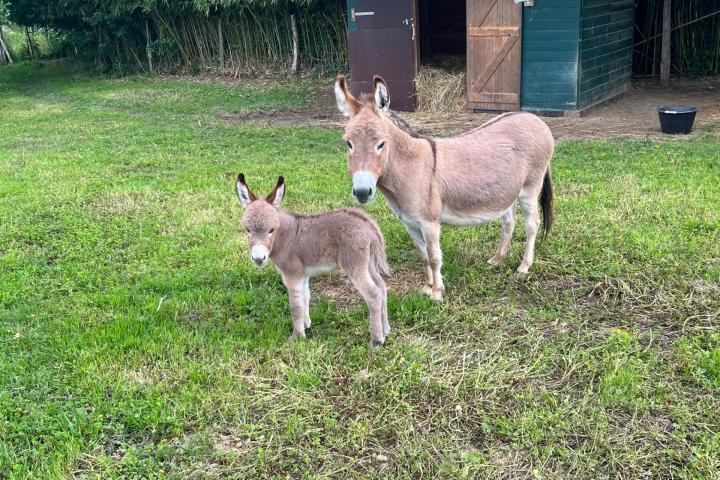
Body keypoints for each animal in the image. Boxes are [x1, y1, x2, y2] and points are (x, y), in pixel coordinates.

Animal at [235, 174, 390, 346]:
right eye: (248, 229)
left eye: (271, 230)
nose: (258, 259)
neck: (284, 237)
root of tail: (368, 224)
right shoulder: (303, 274)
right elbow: (305, 298)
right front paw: (306, 325)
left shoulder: (292, 275)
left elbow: (295, 306)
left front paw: (297, 337)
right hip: (368, 263)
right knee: (382, 287)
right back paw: (385, 330)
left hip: (354, 265)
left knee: (373, 294)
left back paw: (376, 340)